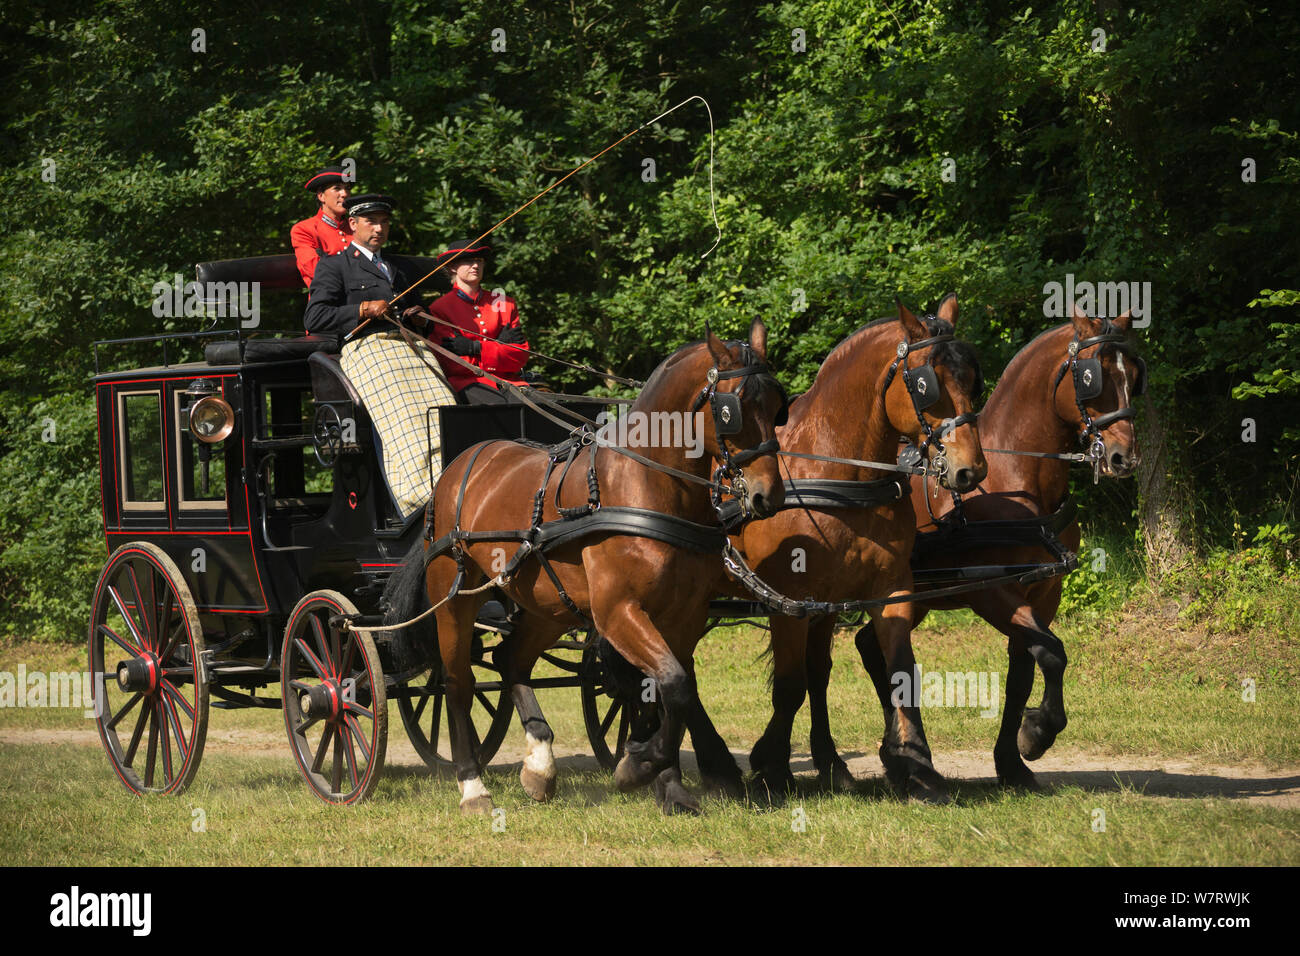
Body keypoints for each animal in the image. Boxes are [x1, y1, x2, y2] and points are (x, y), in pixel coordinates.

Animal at [384, 321, 785, 816]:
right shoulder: (618, 612)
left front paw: (669, 786)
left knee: (509, 660)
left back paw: (540, 766)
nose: (769, 495)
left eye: (777, 405)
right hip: (455, 596)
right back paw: (472, 784)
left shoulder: (684, 616)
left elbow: (670, 692)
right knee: (457, 682)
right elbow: (673, 685)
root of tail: (459, 466)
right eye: (732, 409)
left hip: (549, 606)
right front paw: (638, 766)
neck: (646, 487)